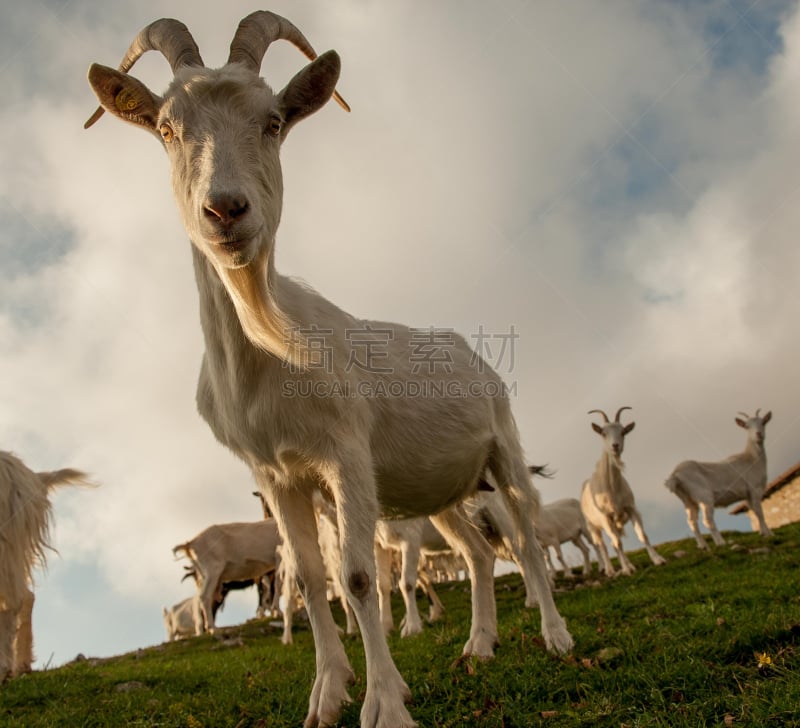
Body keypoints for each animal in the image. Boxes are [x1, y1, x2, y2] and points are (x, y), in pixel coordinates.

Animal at [0, 452, 94, 680]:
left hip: (7, 544)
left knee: (14, 602)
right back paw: (21, 665)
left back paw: (4, 669)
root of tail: (33, 476)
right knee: (25, 597)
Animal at [86, 12, 568, 728]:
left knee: (527, 536)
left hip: (503, 447)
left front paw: (385, 704)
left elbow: (359, 577)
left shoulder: (346, 456)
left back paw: (557, 635)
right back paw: (479, 646)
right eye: (167, 129)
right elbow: (314, 582)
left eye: (273, 121)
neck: (267, 352)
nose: (225, 210)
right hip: (437, 490)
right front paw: (327, 695)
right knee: (480, 553)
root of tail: (469, 349)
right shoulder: (277, 475)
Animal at [580, 410, 664, 576]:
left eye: (623, 432)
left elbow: (642, 535)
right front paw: (625, 570)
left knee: (614, 542)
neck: (611, 488)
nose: (615, 446)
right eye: (603, 433)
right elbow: (617, 543)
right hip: (592, 525)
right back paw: (610, 570)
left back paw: (628, 565)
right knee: (603, 545)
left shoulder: (631, 508)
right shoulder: (605, 517)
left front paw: (657, 560)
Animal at [664, 406, 772, 548]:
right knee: (707, 520)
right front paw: (768, 533)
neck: (751, 459)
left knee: (692, 521)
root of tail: (675, 474)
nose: (758, 434)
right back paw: (720, 542)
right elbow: (759, 512)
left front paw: (763, 532)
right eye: (747, 426)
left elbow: (753, 510)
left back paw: (703, 546)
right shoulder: (754, 489)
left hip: (687, 500)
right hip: (704, 496)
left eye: (763, 422)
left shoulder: (747, 495)